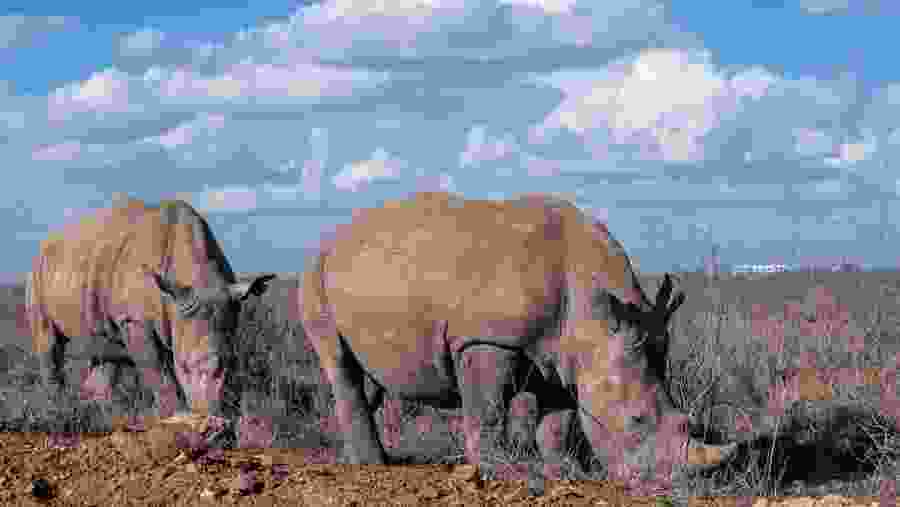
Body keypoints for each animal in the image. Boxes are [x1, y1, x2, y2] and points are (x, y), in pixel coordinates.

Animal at [27, 198, 275, 445]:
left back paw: (106, 420)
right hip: (38, 270)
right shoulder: (135, 320)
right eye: (184, 367)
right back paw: (59, 413)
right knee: (49, 342)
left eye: (233, 363)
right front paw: (174, 424)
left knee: (104, 350)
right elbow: (159, 373)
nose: (216, 434)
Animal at [301, 191, 737, 489]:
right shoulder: (487, 339)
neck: (592, 316)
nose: (671, 484)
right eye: (636, 420)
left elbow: (558, 420)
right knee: (338, 361)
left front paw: (565, 471)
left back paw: (359, 457)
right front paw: (496, 471)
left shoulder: (566, 354)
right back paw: (372, 465)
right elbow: (488, 409)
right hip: (315, 272)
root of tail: (333, 237)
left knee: (369, 375)